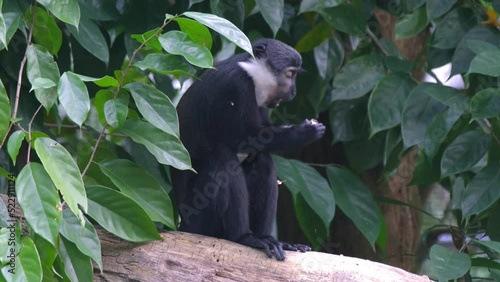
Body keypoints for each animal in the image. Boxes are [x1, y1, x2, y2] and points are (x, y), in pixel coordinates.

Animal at [171, 38, 328, 260]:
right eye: (290, 75)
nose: (293, 91)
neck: (251, 70)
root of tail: (183, 224)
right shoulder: (236, 86)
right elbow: (243, 139)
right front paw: (303, 132)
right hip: (199, 218)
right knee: (223, 158)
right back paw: (244, 237)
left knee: (263, 160)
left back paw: (268, 238)